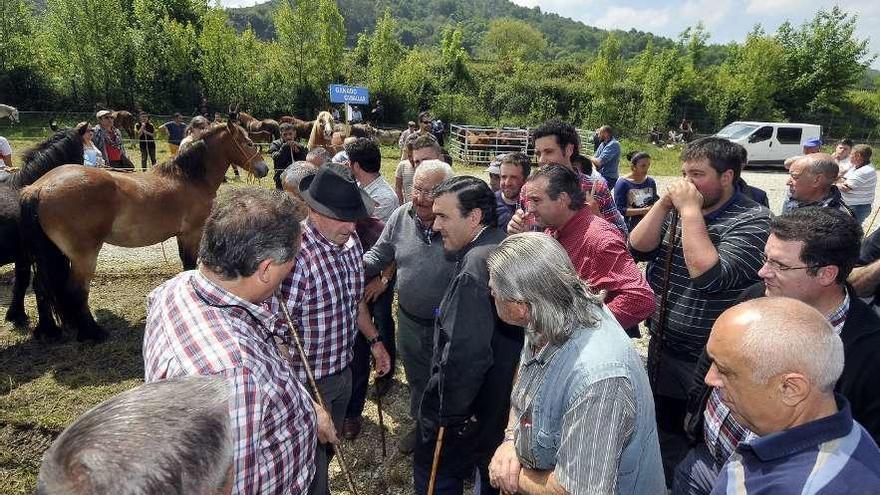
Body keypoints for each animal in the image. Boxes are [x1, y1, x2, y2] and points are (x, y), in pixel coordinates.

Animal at [1, 127, 85, 334]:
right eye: (82, 151)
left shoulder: (22, 254)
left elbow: (21, 282)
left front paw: (16, 315)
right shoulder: (36, 253)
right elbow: (38, 285)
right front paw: (48, 328)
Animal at [19, 117, 268, 340]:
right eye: (248, 142)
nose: (264, 168)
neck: (188, 178)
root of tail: (38, 187)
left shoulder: (181, 235)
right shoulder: (192, 234)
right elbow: (189, 265)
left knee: (42, 288)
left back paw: (49, 331)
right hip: (84, 256)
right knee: (76, 290)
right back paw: (93, 333)